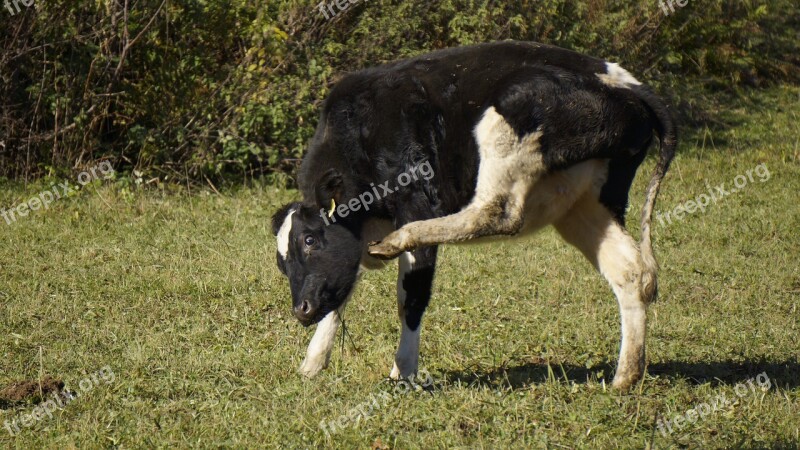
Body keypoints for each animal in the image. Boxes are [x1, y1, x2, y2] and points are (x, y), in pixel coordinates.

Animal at [274, 41, 676, 390]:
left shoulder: (417, 200)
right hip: (585, 201)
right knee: (630, 270)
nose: (300, 310)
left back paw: (398, 240)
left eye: (310, 240)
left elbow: (411, 299)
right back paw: (626, 377)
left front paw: (404, 371)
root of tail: (621, 78)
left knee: (497, 212)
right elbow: (339, 292)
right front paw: (312, 362)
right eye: (282, 263)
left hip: (509, 114)